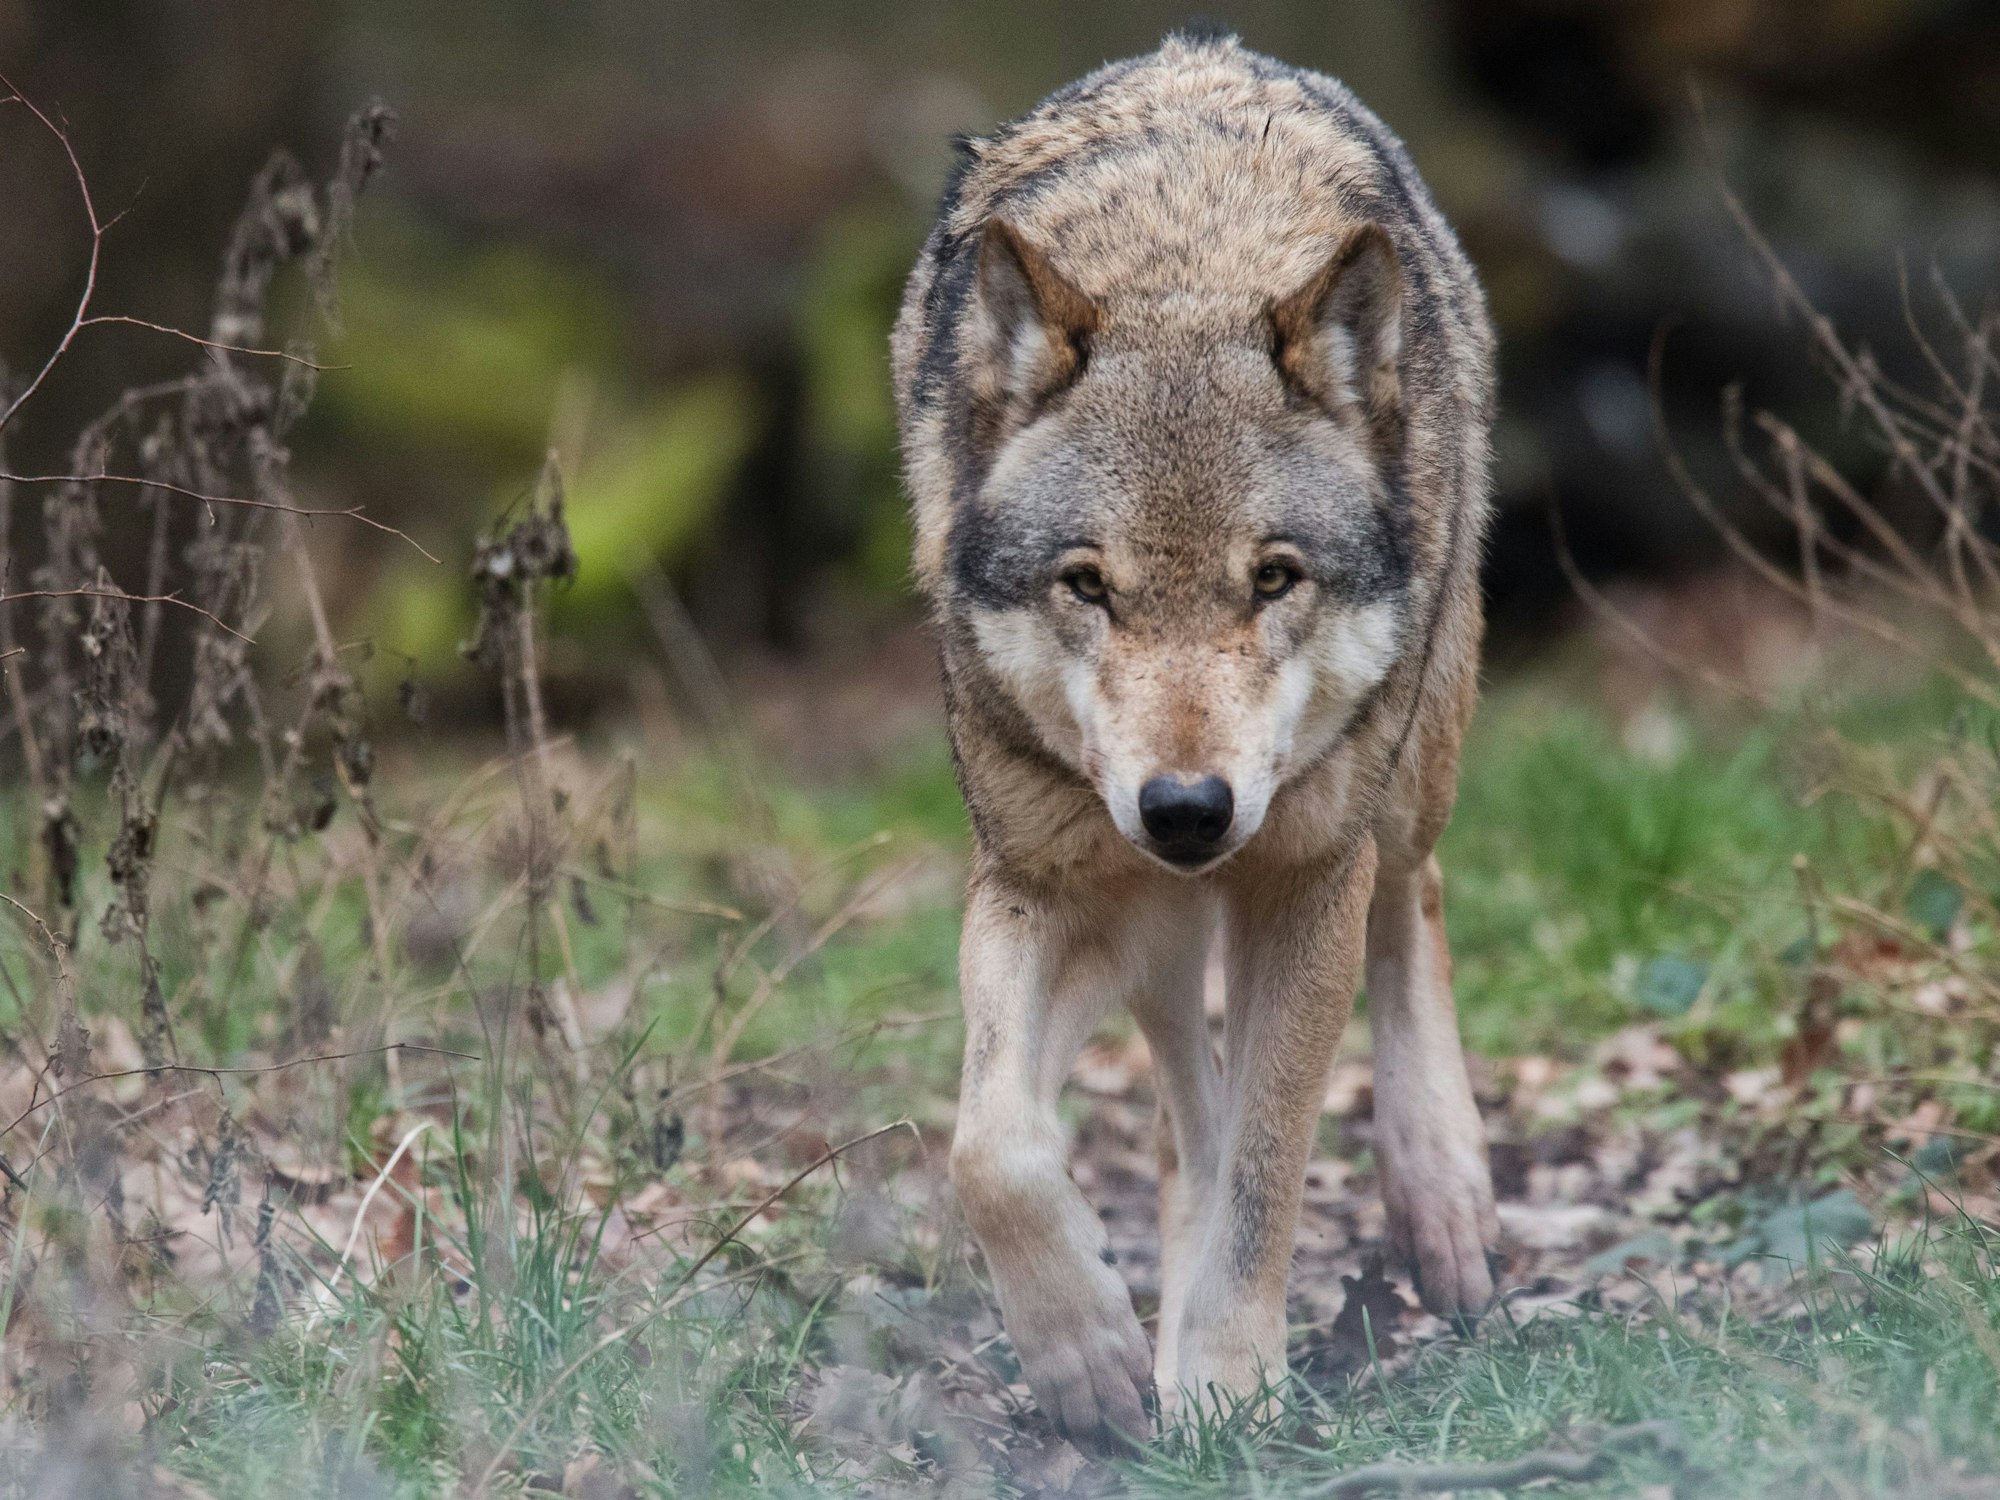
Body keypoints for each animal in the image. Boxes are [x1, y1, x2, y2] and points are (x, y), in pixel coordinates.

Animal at [891, 30, 1499, 1452]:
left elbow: (1269, 1171)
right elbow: (990, 1148)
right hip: (1152, 923)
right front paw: (1093, 1359)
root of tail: (1202, 49)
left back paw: (1442, 1205)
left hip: (1403, 778)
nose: (1184, 809)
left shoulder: (1303, 882)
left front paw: (1223, 1379)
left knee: (1413, 901)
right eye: (1087, 585)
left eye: (1271, 578)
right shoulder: (1043, 882)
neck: (1184, 266)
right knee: (1182, 1101)